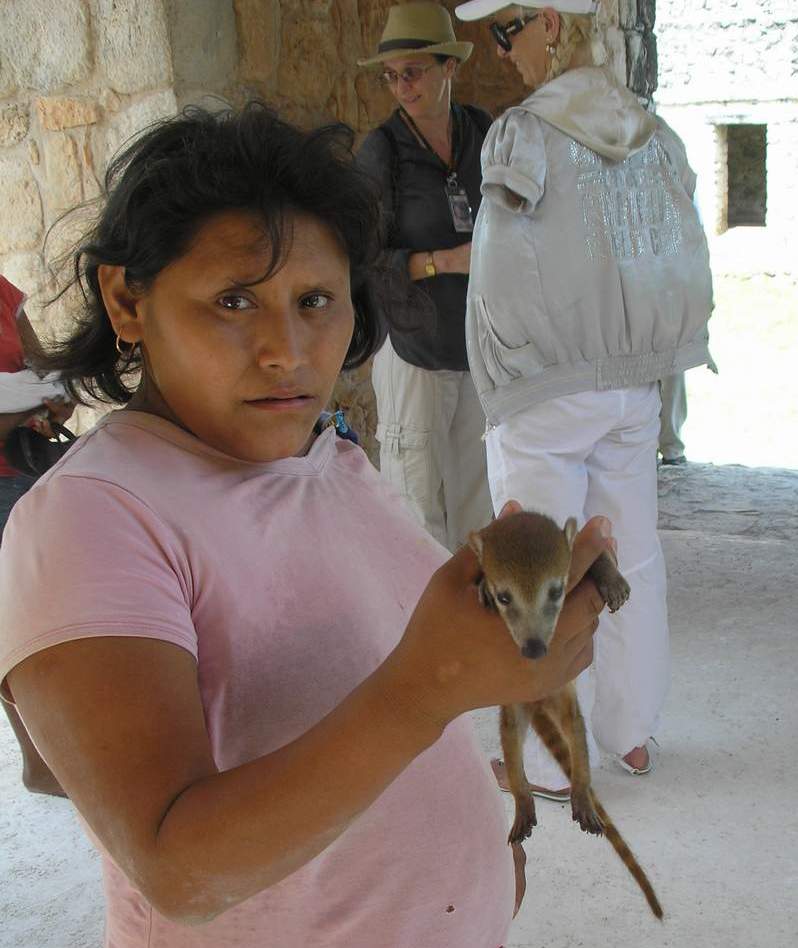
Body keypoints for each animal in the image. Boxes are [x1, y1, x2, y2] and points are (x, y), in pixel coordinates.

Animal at [469, 511, 663, 920]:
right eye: (504, 597)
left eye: (556, 592)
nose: (534, 649)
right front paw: (480, 586)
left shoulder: (575, 555)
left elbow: (601, 553)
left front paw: (610, 576)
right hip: (514, 707)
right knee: (511, 735)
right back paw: (522, 796)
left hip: (567, 706)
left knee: (576, 731)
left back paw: (580, 789)